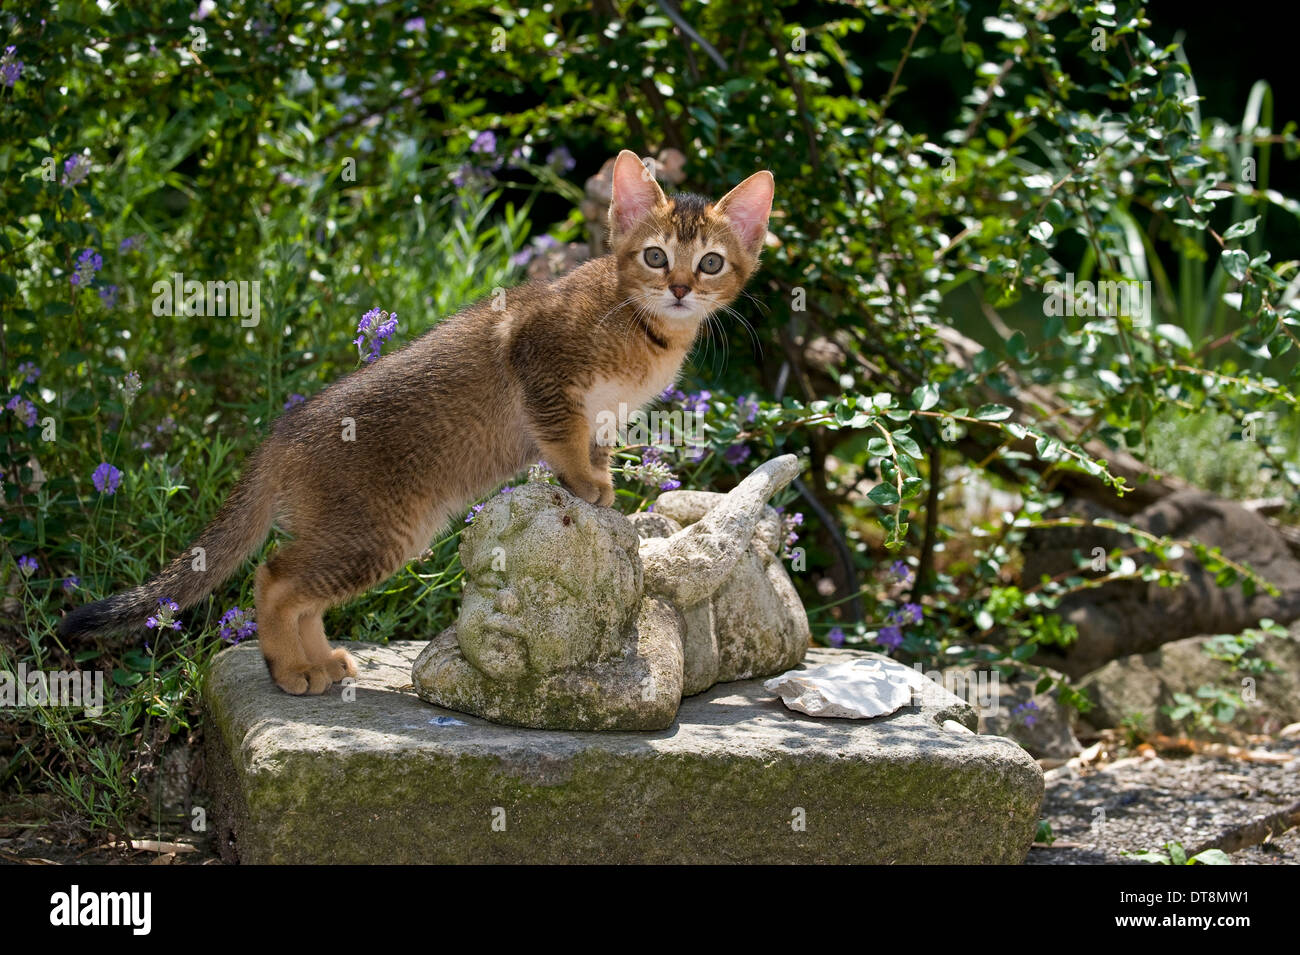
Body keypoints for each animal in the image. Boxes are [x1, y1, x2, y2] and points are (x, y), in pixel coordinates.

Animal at [61, 149, 769, 696]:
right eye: (654, 256)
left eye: (709, 262)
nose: (679, 288)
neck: (643, 327)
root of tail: (280, 436)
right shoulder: (541, 366)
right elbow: (563, 441)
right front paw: (589, 488)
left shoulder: (604, 416)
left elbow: (591, 448)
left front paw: (601, 486)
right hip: (377, 533)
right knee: (275, 577)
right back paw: (289, 669)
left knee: (298, 588)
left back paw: (319, 661)